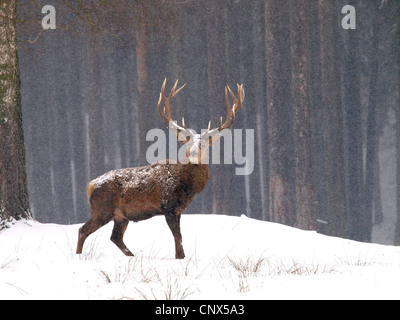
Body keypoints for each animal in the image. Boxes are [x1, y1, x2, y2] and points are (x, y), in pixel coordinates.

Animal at [75, 79, 244, 258]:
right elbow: (178, 239)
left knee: (115, 237)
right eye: (188, 143)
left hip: (120, 216)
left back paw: (133, 256)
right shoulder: (168, 207)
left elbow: (179, 239)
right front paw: (180, 257)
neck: (185, 186)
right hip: (102, 208)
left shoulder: (177, 210)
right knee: (83, 230)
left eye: (204, 144)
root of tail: (90, 185)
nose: (192, 153)